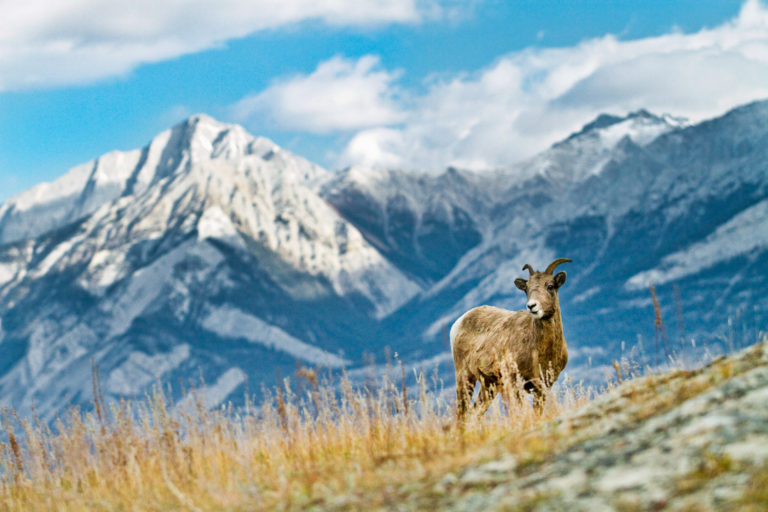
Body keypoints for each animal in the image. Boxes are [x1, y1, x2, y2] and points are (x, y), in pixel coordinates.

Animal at [450, 258, 568, 418]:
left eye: (550, 286)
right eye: (526, 289)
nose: (532, 306)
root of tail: (458, 323)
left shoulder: (543, 387)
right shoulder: (514, 384)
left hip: (489, 386)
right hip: (465, 378)